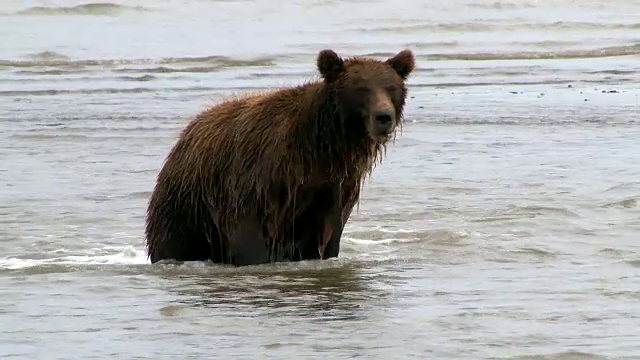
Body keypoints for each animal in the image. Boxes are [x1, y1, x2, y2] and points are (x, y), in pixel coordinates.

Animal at [144, 48, 416, 264]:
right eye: (361, 88)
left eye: (391, 87)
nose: (384, 117)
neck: (321, 146)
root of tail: (186, 133)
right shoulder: (260, 181)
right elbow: (248, 240)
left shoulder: (334, 187)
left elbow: (328, 235)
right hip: (187, 206)